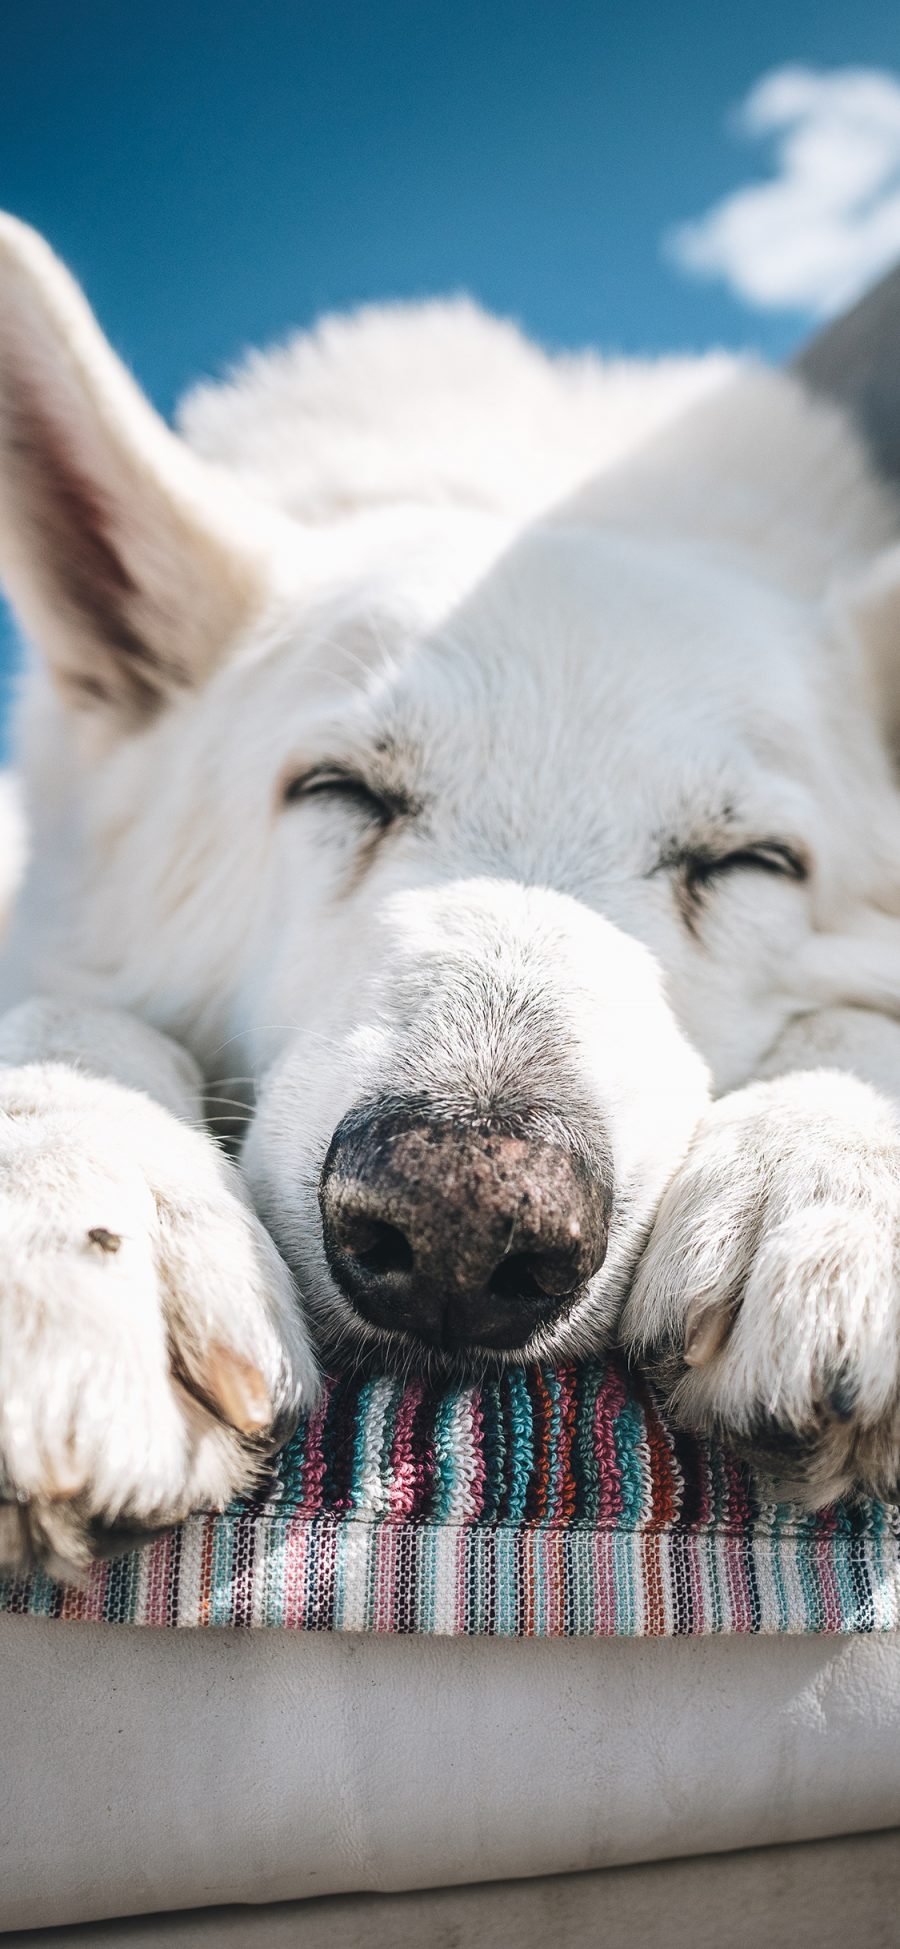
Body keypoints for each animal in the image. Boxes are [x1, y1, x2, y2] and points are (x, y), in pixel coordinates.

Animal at [0, 217, 900, 1566]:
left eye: (750, 861)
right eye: (341, 790)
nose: (462, 1224)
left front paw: (837, 1173)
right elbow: (63, 1015)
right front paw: (80, 1209)